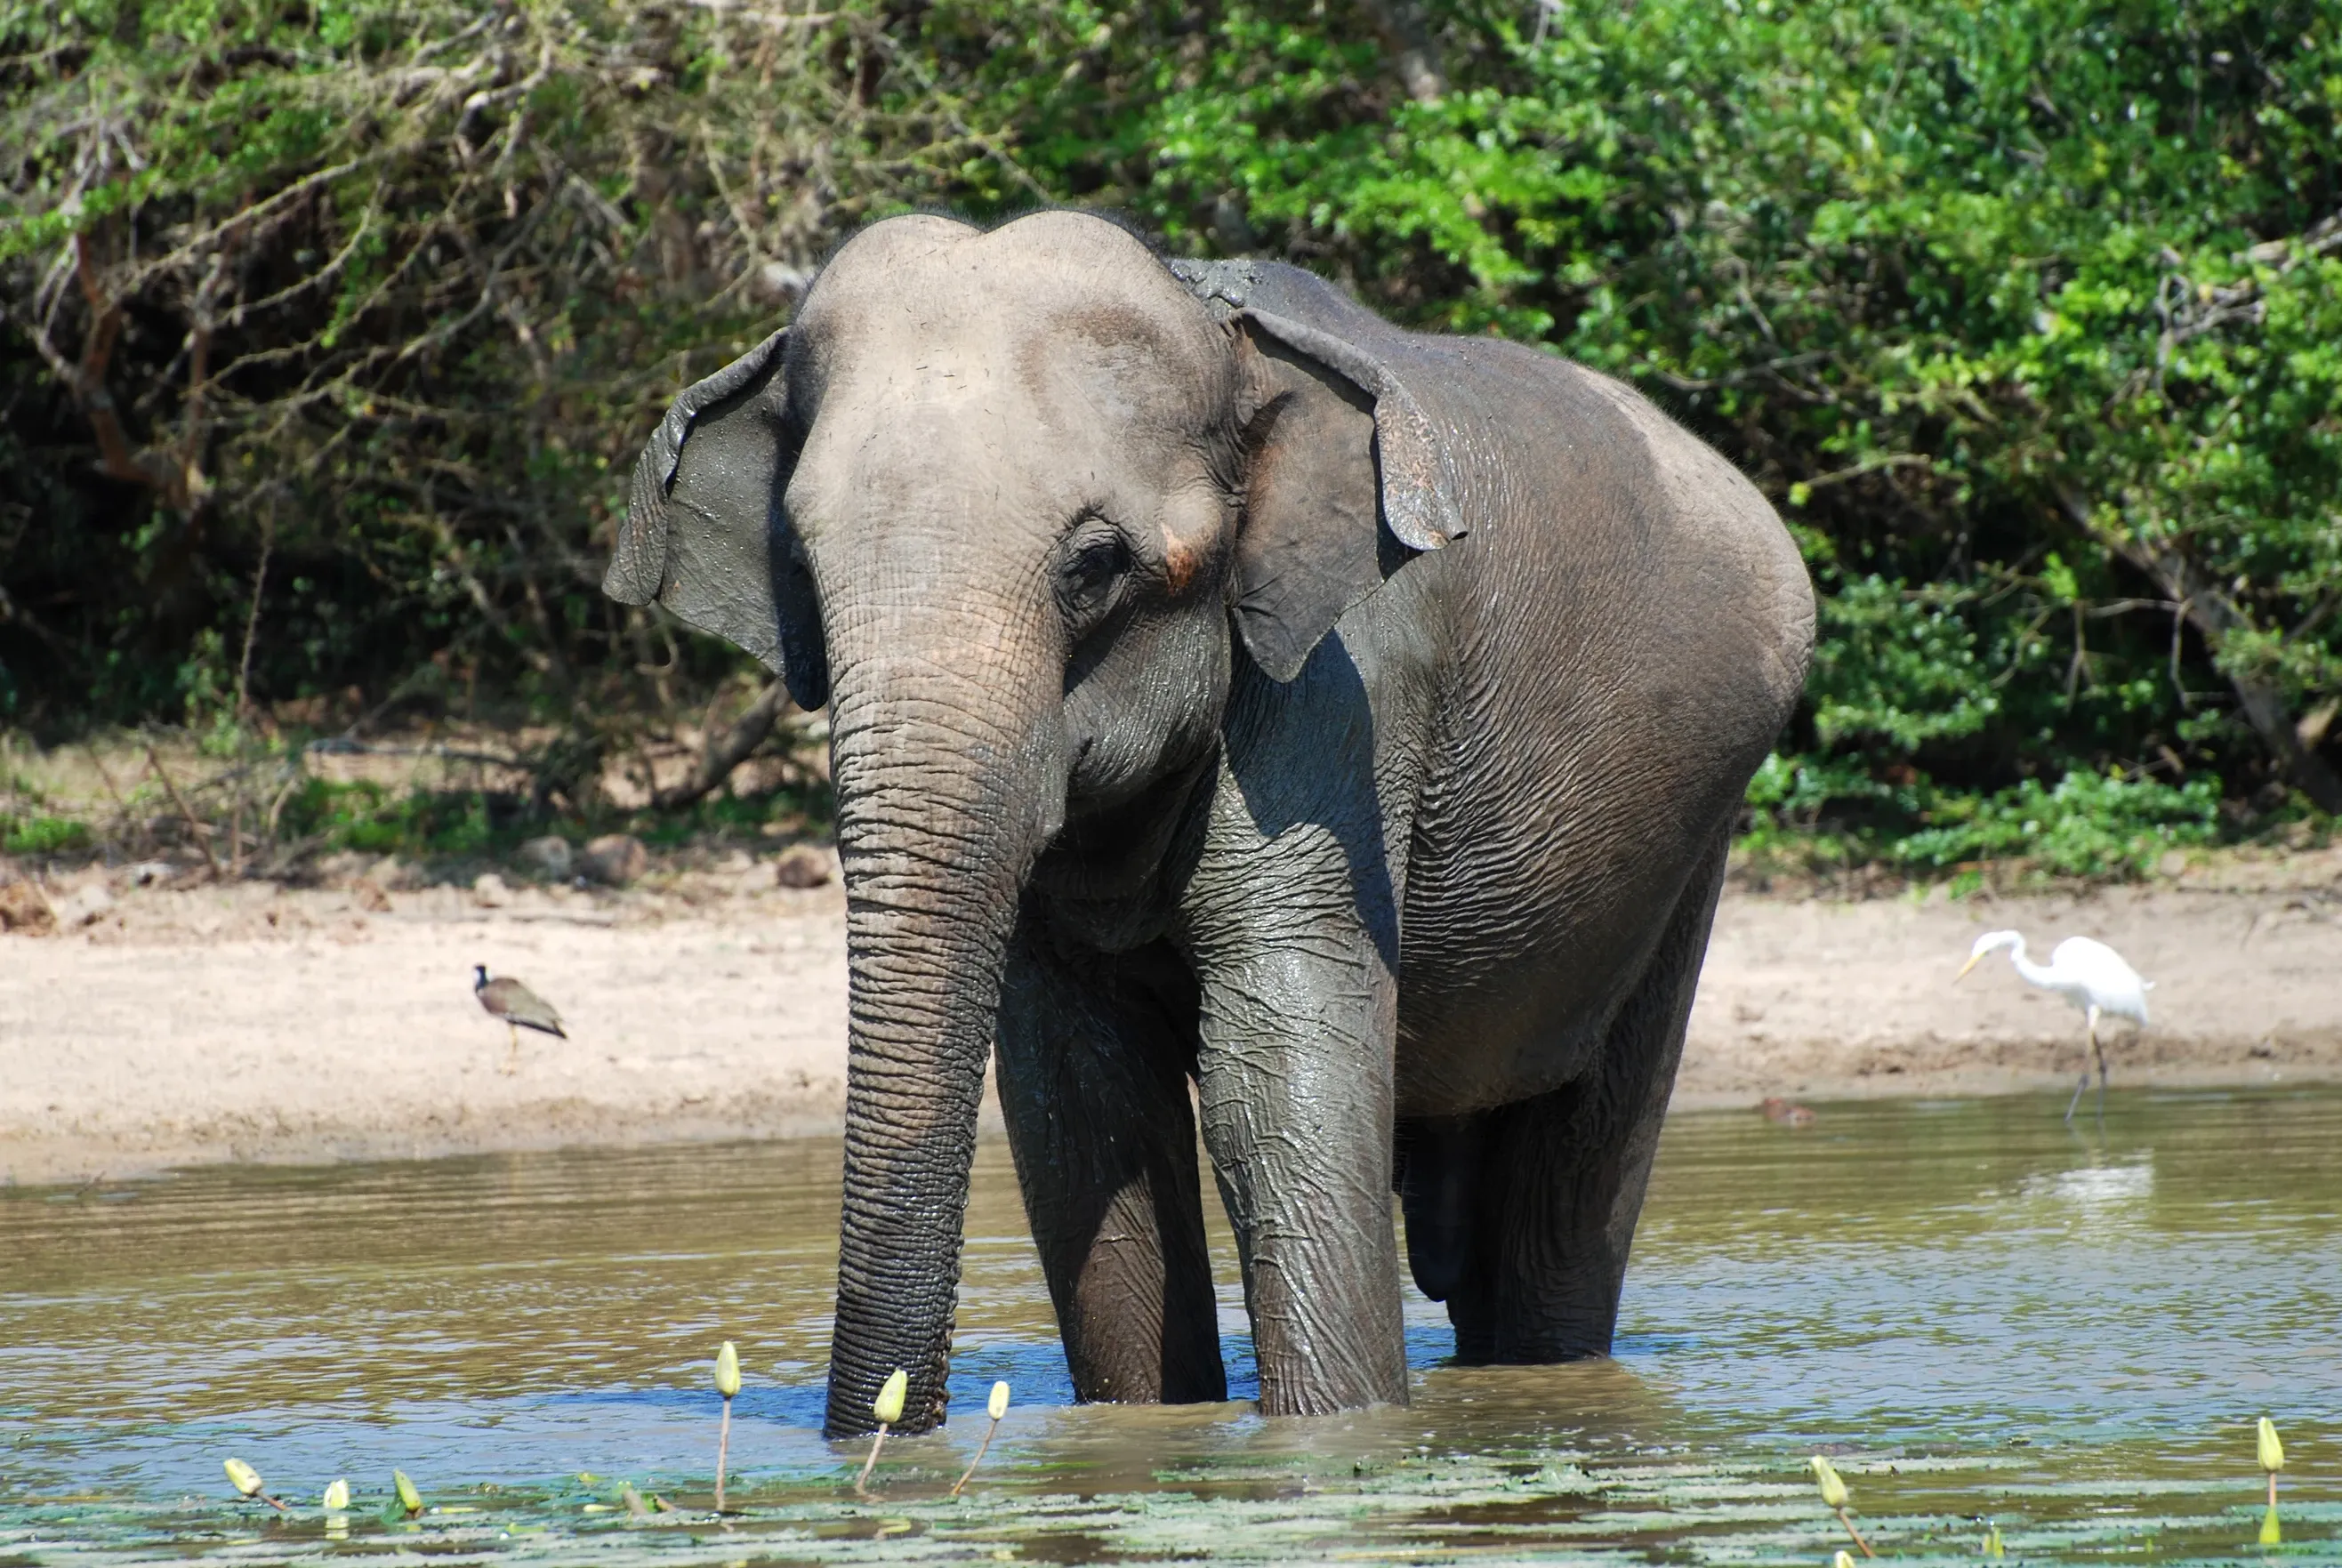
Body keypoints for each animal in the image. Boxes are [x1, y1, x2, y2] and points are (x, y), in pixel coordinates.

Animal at [604, 210, 1813, 1438]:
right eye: (798, 567)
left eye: (1094, 566)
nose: (886, 1430)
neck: (1218, 334)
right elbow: (1082, 1109)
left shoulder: (1344, 687)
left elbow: (1272, 1081)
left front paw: (1337, 1438)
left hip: (1692, 833)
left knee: (1574, 1185)